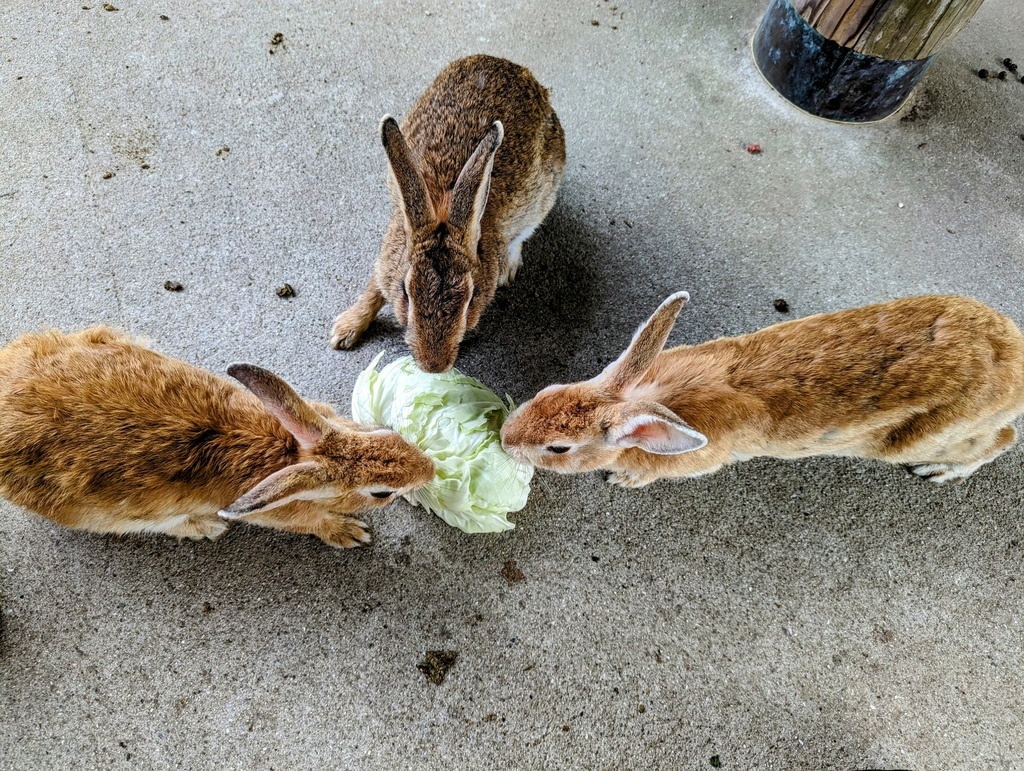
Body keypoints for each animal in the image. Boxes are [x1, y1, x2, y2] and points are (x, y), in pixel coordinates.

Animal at [0, 325, 436, 548]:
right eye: (381, 493)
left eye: (387, 431)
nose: (430, 469)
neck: (292, 456)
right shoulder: (276, 514)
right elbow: (311, 523)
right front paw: (349, 533)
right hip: (100, 515)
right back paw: (206, 527)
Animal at [329, 54, 565, 372]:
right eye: (405, 292)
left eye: (471, 298)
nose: (434, 366)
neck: (442, 205)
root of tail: (510, 66)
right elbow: (373, 289)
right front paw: (344, 331)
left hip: (544, 192)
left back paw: (508, 267)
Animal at [499, 290, 1024, 483]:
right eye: (545, 392)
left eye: (559, 448)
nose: (504, 440)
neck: (652, 400)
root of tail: (1016, 358)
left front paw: (623, 480)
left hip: (929, 437)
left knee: (1003, 438)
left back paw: (940, 473)